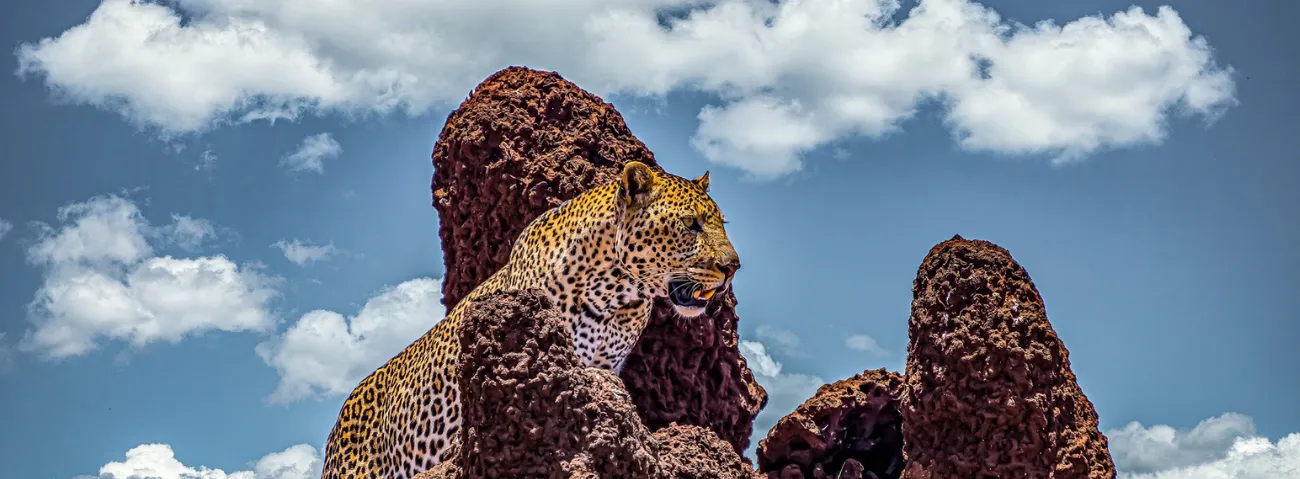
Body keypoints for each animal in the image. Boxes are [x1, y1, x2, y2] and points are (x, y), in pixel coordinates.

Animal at [320, 161, 742, 479]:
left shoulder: (604, 366)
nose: (733, 266)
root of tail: (337, 425)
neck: (616, 291)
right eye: (690, 224)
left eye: (722, 223)